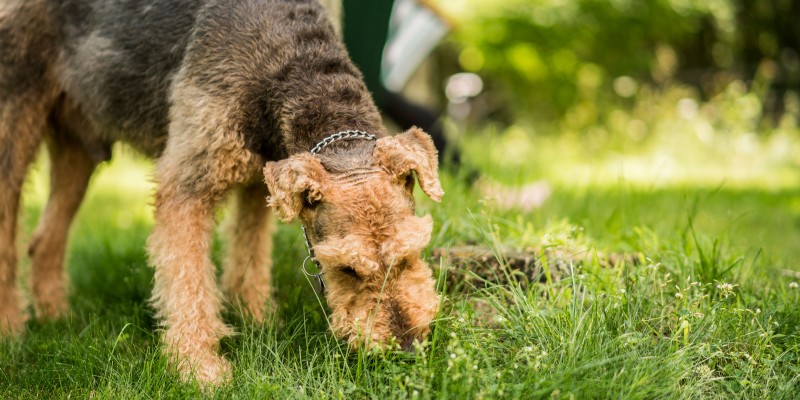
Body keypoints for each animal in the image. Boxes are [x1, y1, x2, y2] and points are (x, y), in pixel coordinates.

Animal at [0, 0, 440, 384]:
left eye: (411, 253)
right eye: (346, 268)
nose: (407, 348)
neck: (287, 53)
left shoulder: (262, 179)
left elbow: (249, 256)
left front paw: (258, 319)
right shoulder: (187, 185)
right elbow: (189, 284)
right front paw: (201, 371)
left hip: (78, 144)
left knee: (46, 240)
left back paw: (56, 316)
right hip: (15, 126)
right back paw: (12, 331)